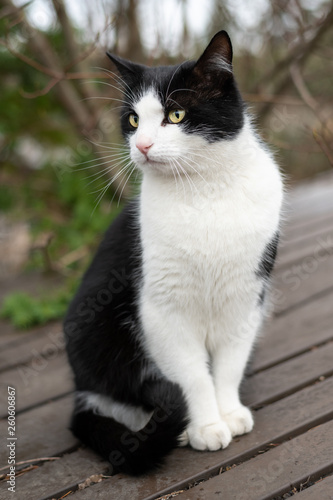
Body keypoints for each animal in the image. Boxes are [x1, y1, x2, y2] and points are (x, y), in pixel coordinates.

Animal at [63, 29, 282, 474]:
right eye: (133, 120)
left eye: (176, 115)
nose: (143, 145)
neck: (205, 190)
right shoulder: (162, 311)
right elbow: (191, 376)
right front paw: (206, 426)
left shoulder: (246, 301)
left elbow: (229, 366)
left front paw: (228, 412)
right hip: (92, 329)